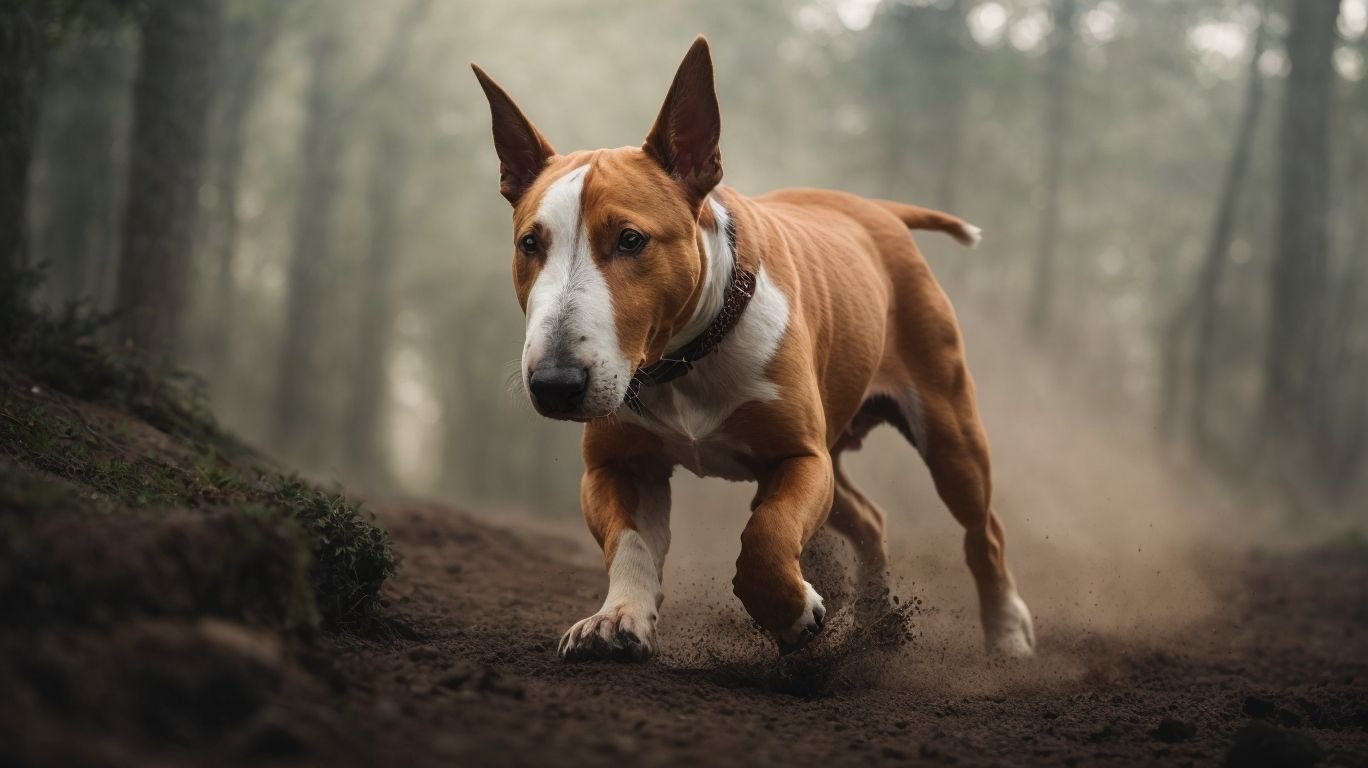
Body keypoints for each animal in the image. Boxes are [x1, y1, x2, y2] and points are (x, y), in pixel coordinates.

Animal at [476, 35, 1028, 659]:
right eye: (529, 244)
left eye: (630, 239)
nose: (555, 385)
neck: (684, 361)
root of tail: (877, 210)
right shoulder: (619, 465)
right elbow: (630, 542)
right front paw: (617, 618)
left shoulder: (801, 457)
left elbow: (766, 535)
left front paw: (793, 613)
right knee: (869, 518)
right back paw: (876, 622)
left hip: (947, 423)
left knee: (982, 529)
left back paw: (1007, 634)